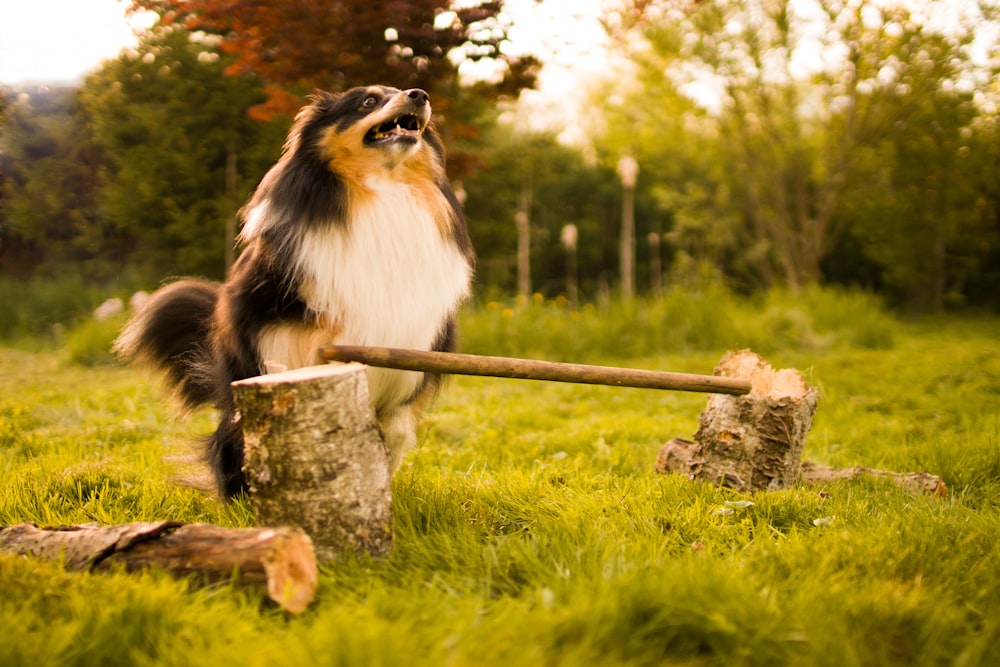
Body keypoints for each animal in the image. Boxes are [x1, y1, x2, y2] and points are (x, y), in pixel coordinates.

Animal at [115, 86, 474, 498]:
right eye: (368, 101)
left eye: (401, 91)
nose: (419, 95)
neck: (381, 189)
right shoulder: (275, 324)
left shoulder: (413, 346)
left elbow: (397, 426)